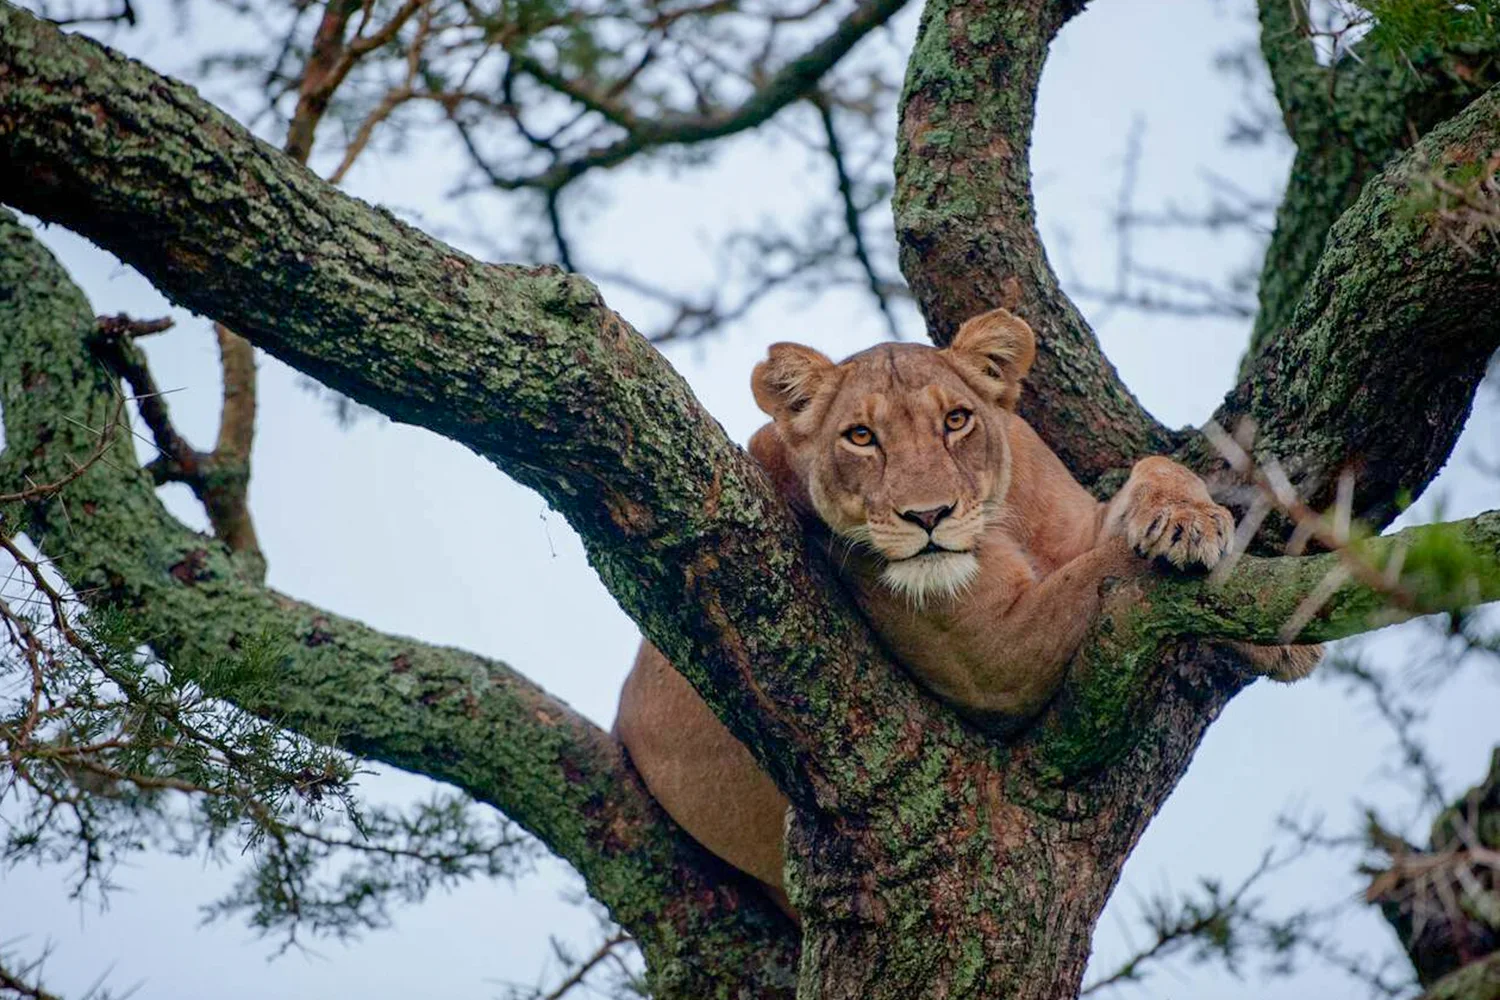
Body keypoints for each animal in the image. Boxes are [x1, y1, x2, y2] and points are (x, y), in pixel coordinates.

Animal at [614, 308, 1318, 913]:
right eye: (861, 437)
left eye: (956, 420)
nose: (928, 517)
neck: (1003, 520)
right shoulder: (996, 662)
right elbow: (1109, 568)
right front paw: (1287, 634)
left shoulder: (1080, 524)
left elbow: (1152, 470)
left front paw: (1190, 523)